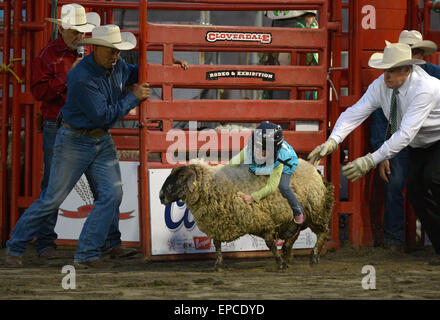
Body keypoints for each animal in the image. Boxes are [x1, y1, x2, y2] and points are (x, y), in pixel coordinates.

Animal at [158, 158, 334, 270]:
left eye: (181, 176)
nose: (161, 196)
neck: (212, 184)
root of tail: (315, 169)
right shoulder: (217, 223)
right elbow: (217, 244)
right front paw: (218, 265)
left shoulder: (263, 221)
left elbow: (270, 243)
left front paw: (279, 263)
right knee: (296, 233)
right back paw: (288, 253)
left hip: (316, 211)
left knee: (324, 233)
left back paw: (313, 257)